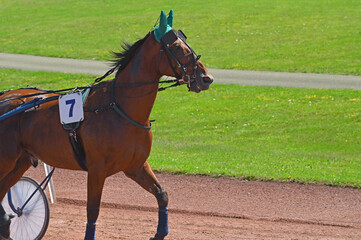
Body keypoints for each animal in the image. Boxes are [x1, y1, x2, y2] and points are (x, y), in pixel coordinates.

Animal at [0, 9, 212, 240]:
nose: (206, 78)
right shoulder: (96, 169)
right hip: (7, 159)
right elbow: (93, 210)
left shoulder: (136, 166)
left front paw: (159, 233)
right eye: (177, 47)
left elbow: (162, 194)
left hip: (20, 160)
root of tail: (6, 98)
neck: (120, 107)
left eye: (186, 43)